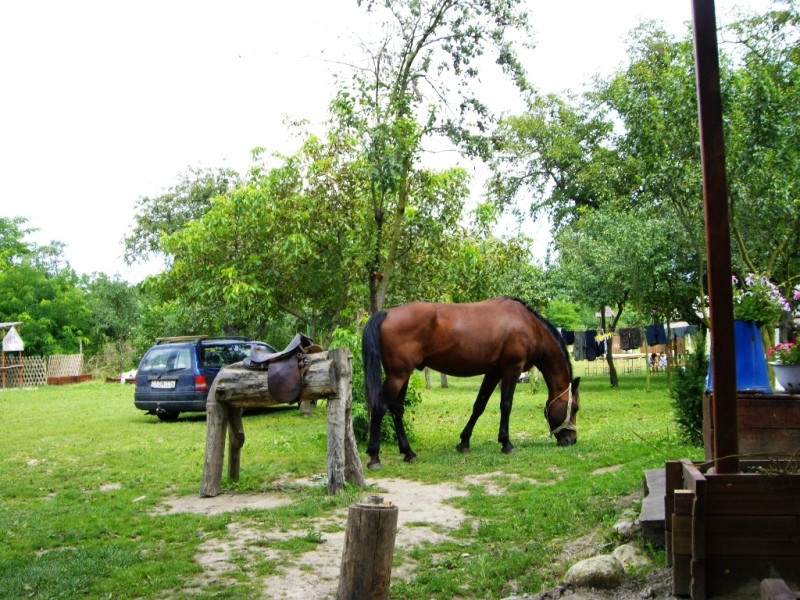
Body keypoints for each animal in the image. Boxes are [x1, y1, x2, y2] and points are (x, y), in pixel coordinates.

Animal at [360, 296, 580, 468]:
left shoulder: (493, 372)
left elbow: (479, 405)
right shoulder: (511, 370)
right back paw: (374, 457)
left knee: (397, 410)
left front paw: (464, 442)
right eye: (576, 408)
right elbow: (506, 405)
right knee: (380, 407)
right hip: (398, 375)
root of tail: (387, 313)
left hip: (402, 375)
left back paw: (408, 453)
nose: (572, 440)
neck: (529, 325)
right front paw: (507, 444)